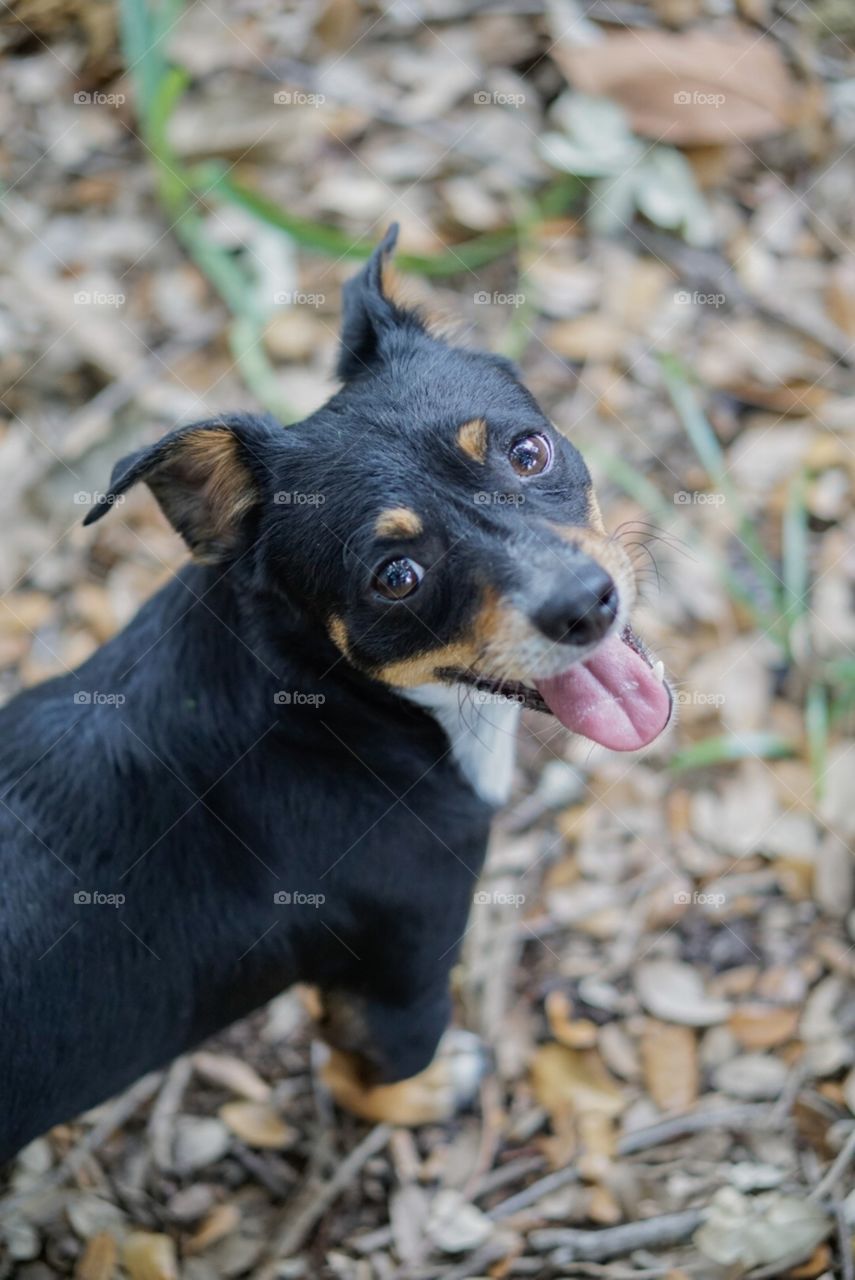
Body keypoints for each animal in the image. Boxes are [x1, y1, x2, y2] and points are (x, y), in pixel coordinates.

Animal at [0, 225, 670, 1167]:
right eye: (397, 577)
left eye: (527, 451)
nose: (585, 604)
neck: (331, 710)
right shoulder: (401, 970)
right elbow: (372, 1070)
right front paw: (424, 1094)